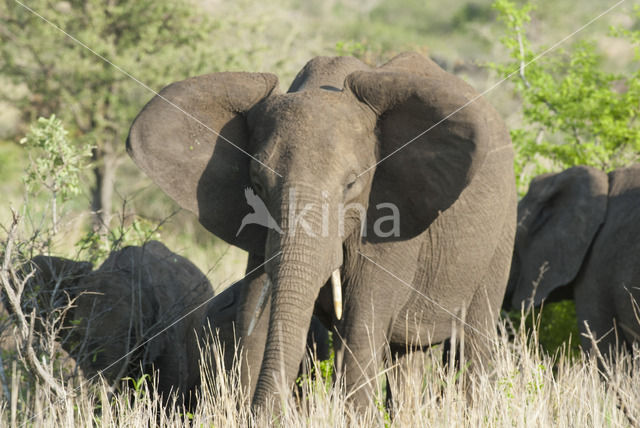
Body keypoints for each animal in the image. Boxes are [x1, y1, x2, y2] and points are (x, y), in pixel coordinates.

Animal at [127, 51, 516, 410]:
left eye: (351, 184)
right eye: (257, 184)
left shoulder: (391, 220)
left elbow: (360, 326)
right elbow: (255, 316)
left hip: (501, 233)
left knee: (472, 341)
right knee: (406, 355)